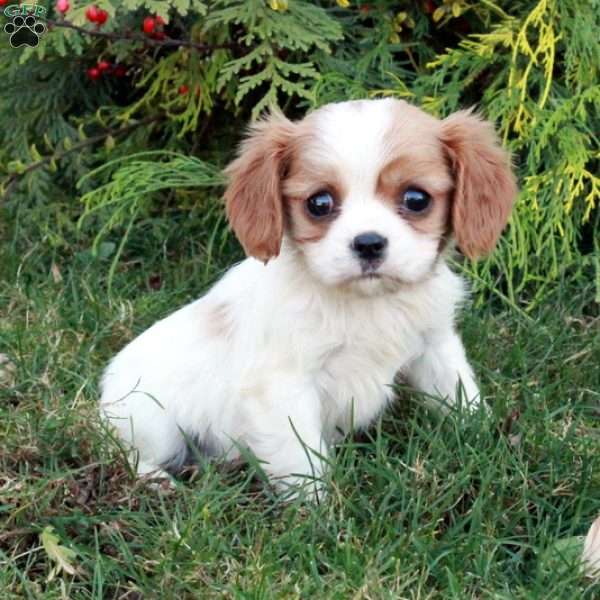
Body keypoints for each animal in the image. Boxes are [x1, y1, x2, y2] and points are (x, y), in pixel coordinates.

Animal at [101, 99, 516, 496]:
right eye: (319, 203)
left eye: (416, 199)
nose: (368, 243)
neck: (368, 303)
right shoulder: (283, 386)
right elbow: (301, 459)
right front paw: (317, 509)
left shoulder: (435, 344)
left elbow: (459, 391)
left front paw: (486, 436)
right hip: (151, 420)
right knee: (128, 454)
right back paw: (158, 481)